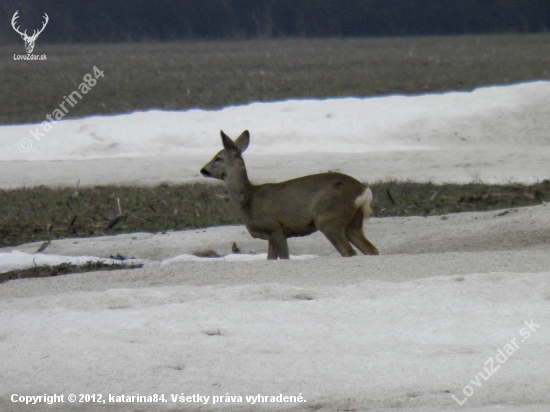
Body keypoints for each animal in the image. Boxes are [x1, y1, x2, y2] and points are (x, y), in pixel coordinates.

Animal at [201, 130, 382, 260]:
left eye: (218, 158)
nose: (203, 170)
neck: (249, 199)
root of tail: (364, 191)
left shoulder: (275, 227)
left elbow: (285, 257)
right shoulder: (270, 235)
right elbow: (270, 258)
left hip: (328, 217)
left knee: (348, 251)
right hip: (352, 222)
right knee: (371, 249)